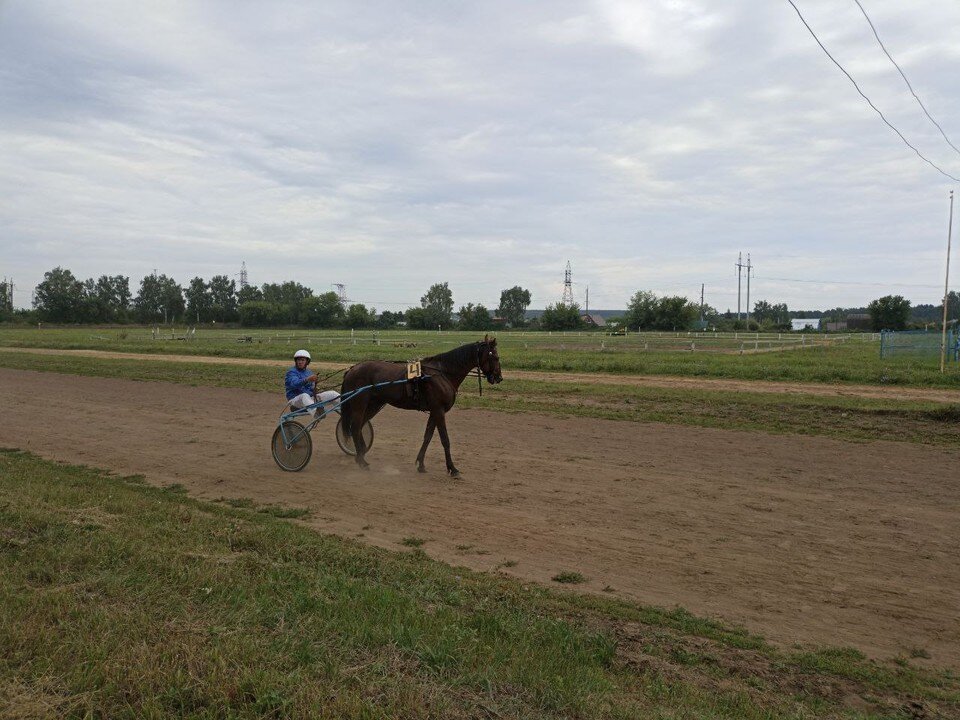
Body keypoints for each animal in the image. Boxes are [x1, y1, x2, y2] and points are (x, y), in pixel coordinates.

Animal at [340, 338, 502, 478]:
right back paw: (361, 461)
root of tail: (352, 369)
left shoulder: (434, 411)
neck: (442, 374)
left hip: (374, 404)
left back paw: (360, 455)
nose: (499, 377)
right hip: (359, 404)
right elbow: (445, 439)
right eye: (495, 357)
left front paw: (421, 464)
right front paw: (452, 468)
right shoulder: (439, 410)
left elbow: (427, 437)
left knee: (360, 426)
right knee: (355, 427)